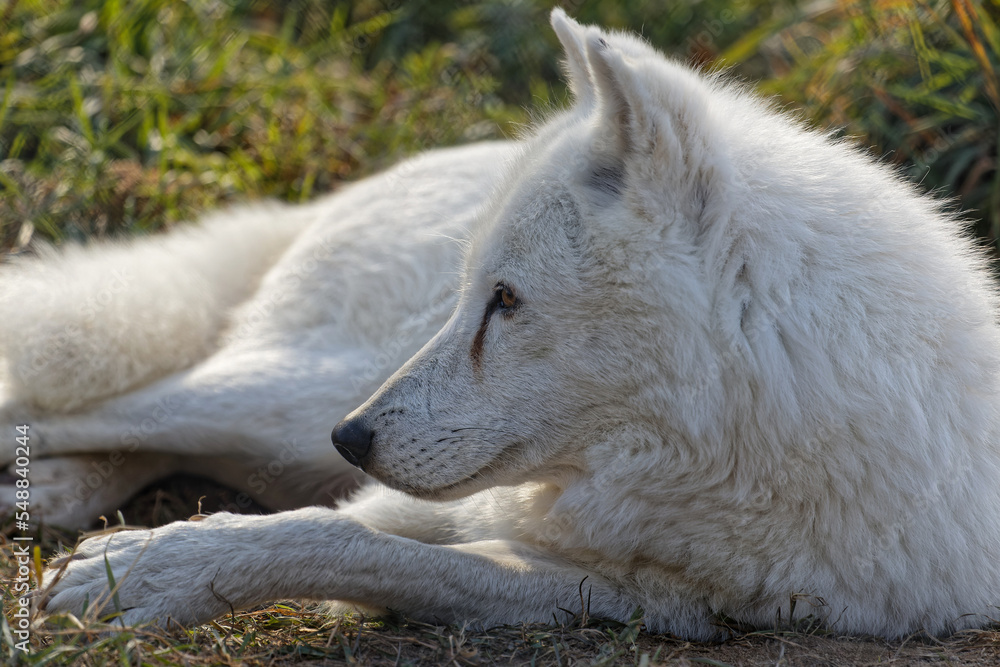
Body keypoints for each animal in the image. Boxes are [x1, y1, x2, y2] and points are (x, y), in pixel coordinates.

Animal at [7, 9, 1000, 636]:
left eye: (507, 301)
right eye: (473, 294)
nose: (353, 439)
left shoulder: (653, 599)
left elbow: (366, 545)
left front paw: (146, 568)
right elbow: (332, 526)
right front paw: (144, 565)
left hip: (289, 416)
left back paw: (49, 495)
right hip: (291, 395)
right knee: (88, 406)